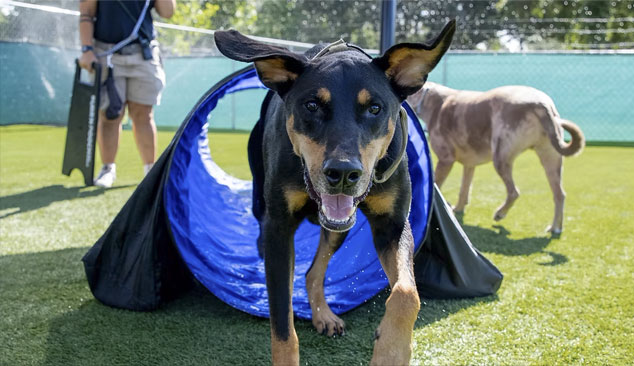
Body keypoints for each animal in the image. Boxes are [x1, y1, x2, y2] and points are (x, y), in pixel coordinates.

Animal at [215, 21, 452, 364]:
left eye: (375, 108)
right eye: (312, 105)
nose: (342, 174)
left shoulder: (392, 226)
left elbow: (407, 293)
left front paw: (391, 349)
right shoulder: (279, 231)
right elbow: (282, 326)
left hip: (340, 230)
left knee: (313, 272)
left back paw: (324, 316)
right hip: (263, 201)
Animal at [408, 81, 580, 233]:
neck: (431, 100)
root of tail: (541, 104)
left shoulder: (445, 160)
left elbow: (437, 185)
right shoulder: (469, 165)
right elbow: (464, 190)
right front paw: (457, 210)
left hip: (501, 158)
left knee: (514, 192)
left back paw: (500, 213)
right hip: (551, 160)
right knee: (559, 195)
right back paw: (555, 228)